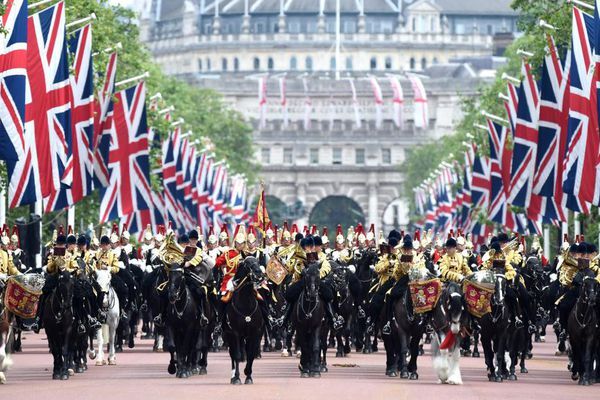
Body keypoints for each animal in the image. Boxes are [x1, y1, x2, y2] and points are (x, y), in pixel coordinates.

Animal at [223, 256, 264, 384]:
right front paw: (237, 377)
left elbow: (250, 354)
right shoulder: (235, 333)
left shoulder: (255, 333)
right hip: (229, 334)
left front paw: (248, 375)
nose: (259, 273)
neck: (246, 305)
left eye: (258, 262)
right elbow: (236, 354)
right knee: (233, 354)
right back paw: (232, 377)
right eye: (246, 264)